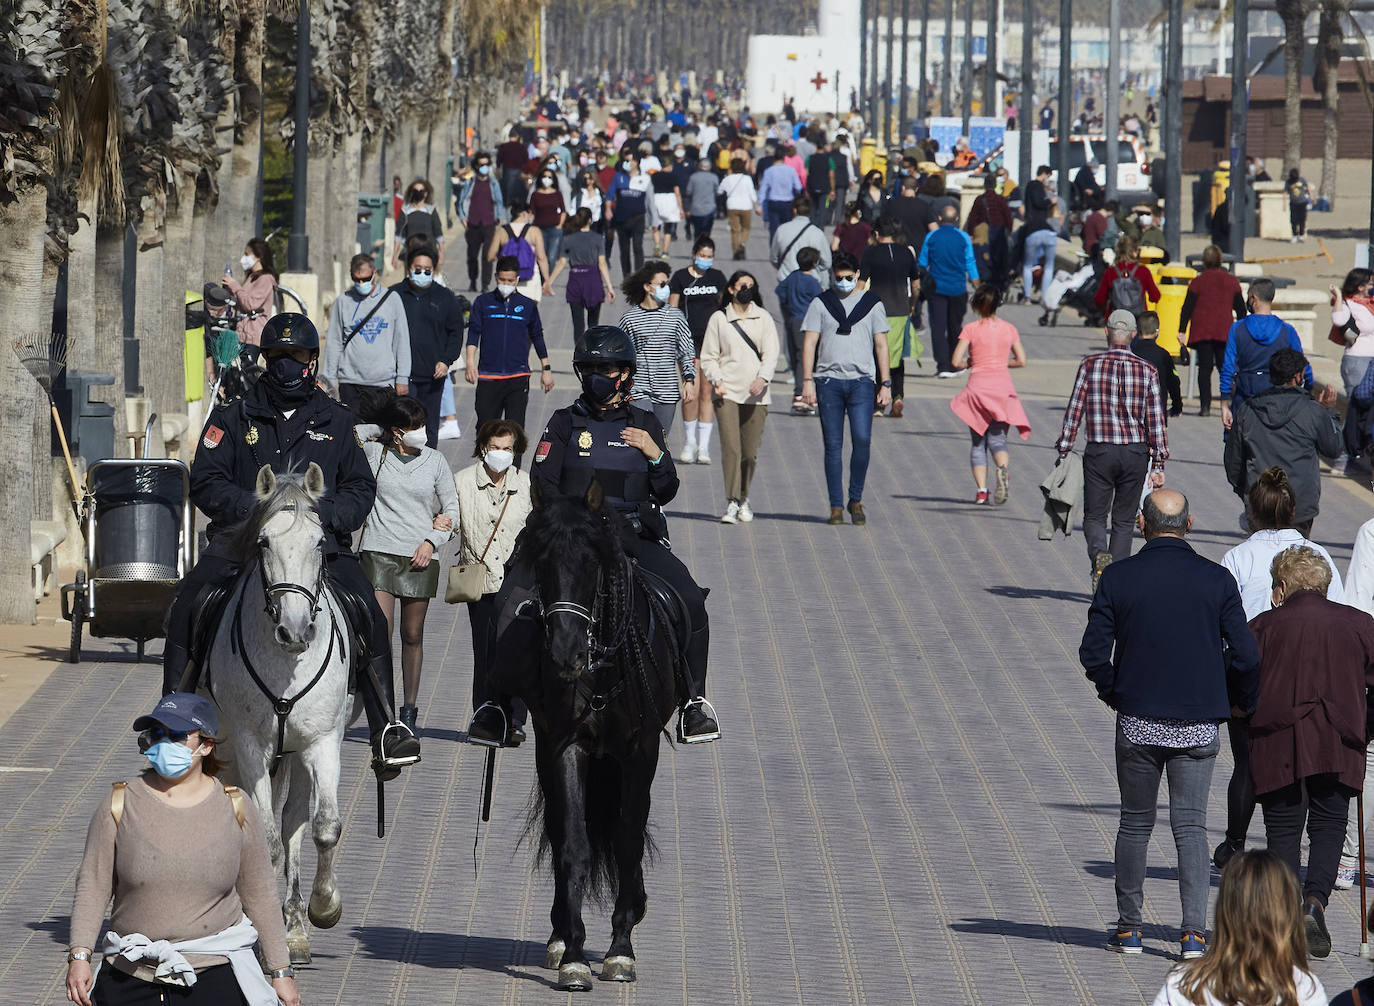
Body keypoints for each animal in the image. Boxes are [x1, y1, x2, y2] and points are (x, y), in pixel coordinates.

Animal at [204, 464, 357, 967]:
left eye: (320, 541)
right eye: (264, 543)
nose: (295, 630)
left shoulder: (323, 741)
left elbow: (323, 827)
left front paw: (323, 908)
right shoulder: (250, 744)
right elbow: (264, 843)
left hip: (296, 753)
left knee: (294, 821)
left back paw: (295, 928)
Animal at [502, 481, 678, 989]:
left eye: (591, 563)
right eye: (540, 560)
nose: (565, 652)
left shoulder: (641, 750)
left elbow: (627, 841)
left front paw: (621, 949)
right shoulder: (566, 746)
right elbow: (574, 846)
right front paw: (575, 955)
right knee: (560, 830)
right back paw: (560, 936)